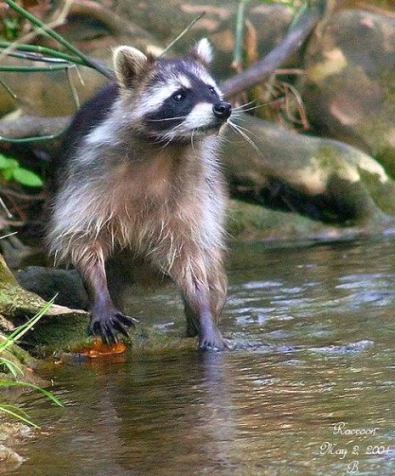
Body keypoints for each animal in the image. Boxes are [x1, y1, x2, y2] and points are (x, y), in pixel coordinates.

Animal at [48, 40, 232, 350]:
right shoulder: (90, 177)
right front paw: (100, 296)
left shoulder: (197, 192)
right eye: (179, 95)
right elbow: (83, 239)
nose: (223, 108)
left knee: (214, 272)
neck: (166, 148)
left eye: (210, 89)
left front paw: (204, 313)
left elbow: (194, 261)